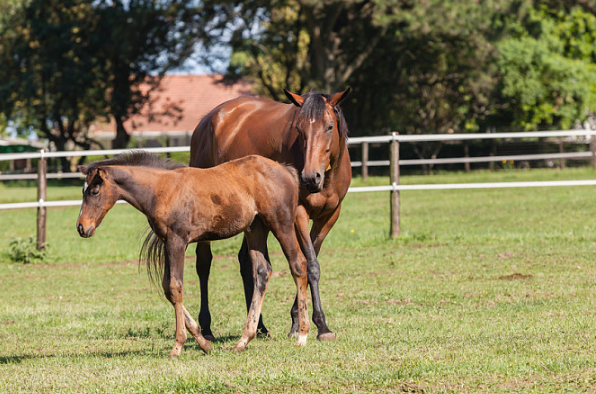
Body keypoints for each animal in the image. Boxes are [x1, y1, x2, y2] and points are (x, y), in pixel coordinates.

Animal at [75, 152, 312, 356]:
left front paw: (178, 346)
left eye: (94, 191)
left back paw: (302, 335)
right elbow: (167, 289)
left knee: (298, 265)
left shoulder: (178, 241)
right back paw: (244, 340)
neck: (161, 189)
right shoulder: (167, 243)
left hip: (281, 224)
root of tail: (283, 168)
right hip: (255, 229)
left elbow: (175, 287)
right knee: (263, 272)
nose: (81, 228)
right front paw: (204, 343)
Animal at [189, 87, 352, 340]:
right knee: (204, 262)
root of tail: (207, 120)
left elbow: (311, 261)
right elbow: (310, 265)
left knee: (247, 263)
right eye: (299, 129)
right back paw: (206, 328)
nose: (309, 178)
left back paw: (260, 326)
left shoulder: (330, 216)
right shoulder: (298, 213)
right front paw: (321, 325)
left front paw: (297, 322)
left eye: (329, 126)